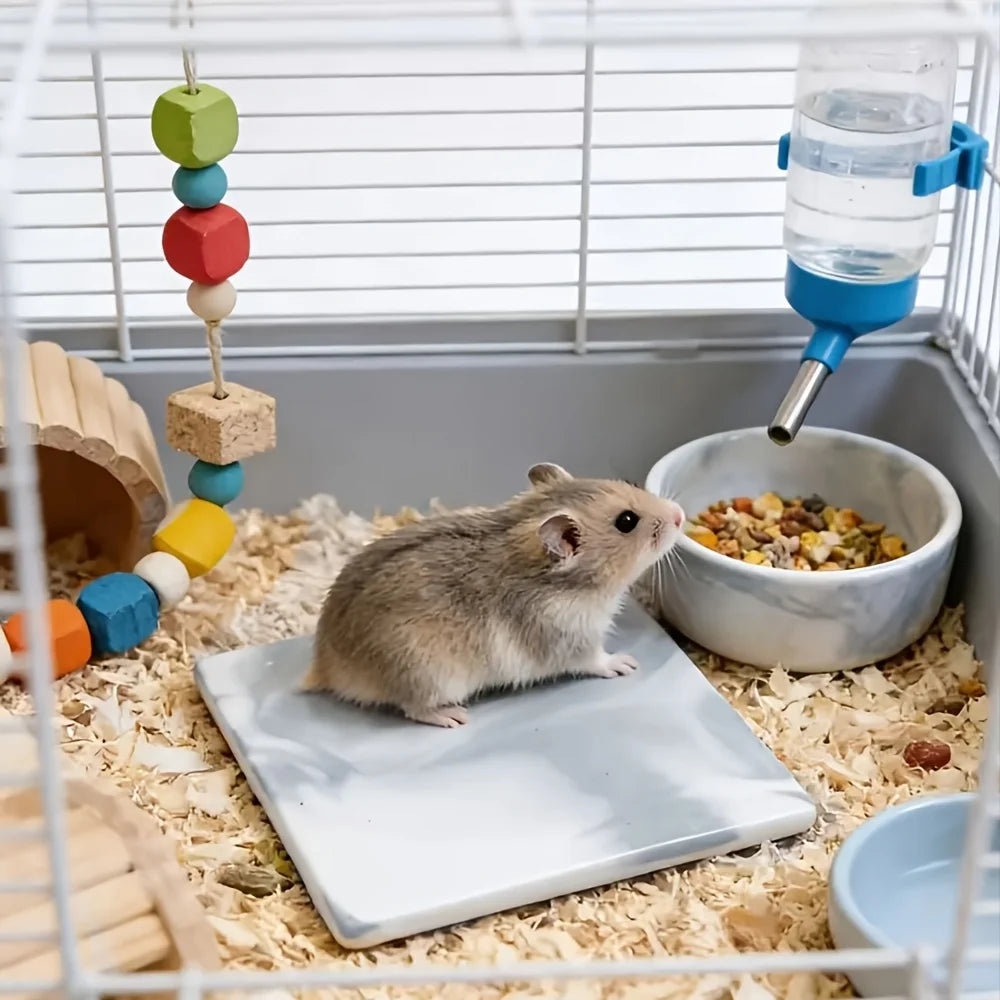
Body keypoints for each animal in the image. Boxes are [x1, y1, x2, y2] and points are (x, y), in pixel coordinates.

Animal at [303, 463, 684, 728]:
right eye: (627, 521)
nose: (679, 516)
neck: (568, 582)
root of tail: (325, 669)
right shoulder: (571, 639)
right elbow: (597, 660)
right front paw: (628, 663)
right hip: (427, 676)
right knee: (414, 708)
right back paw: (453, 717)